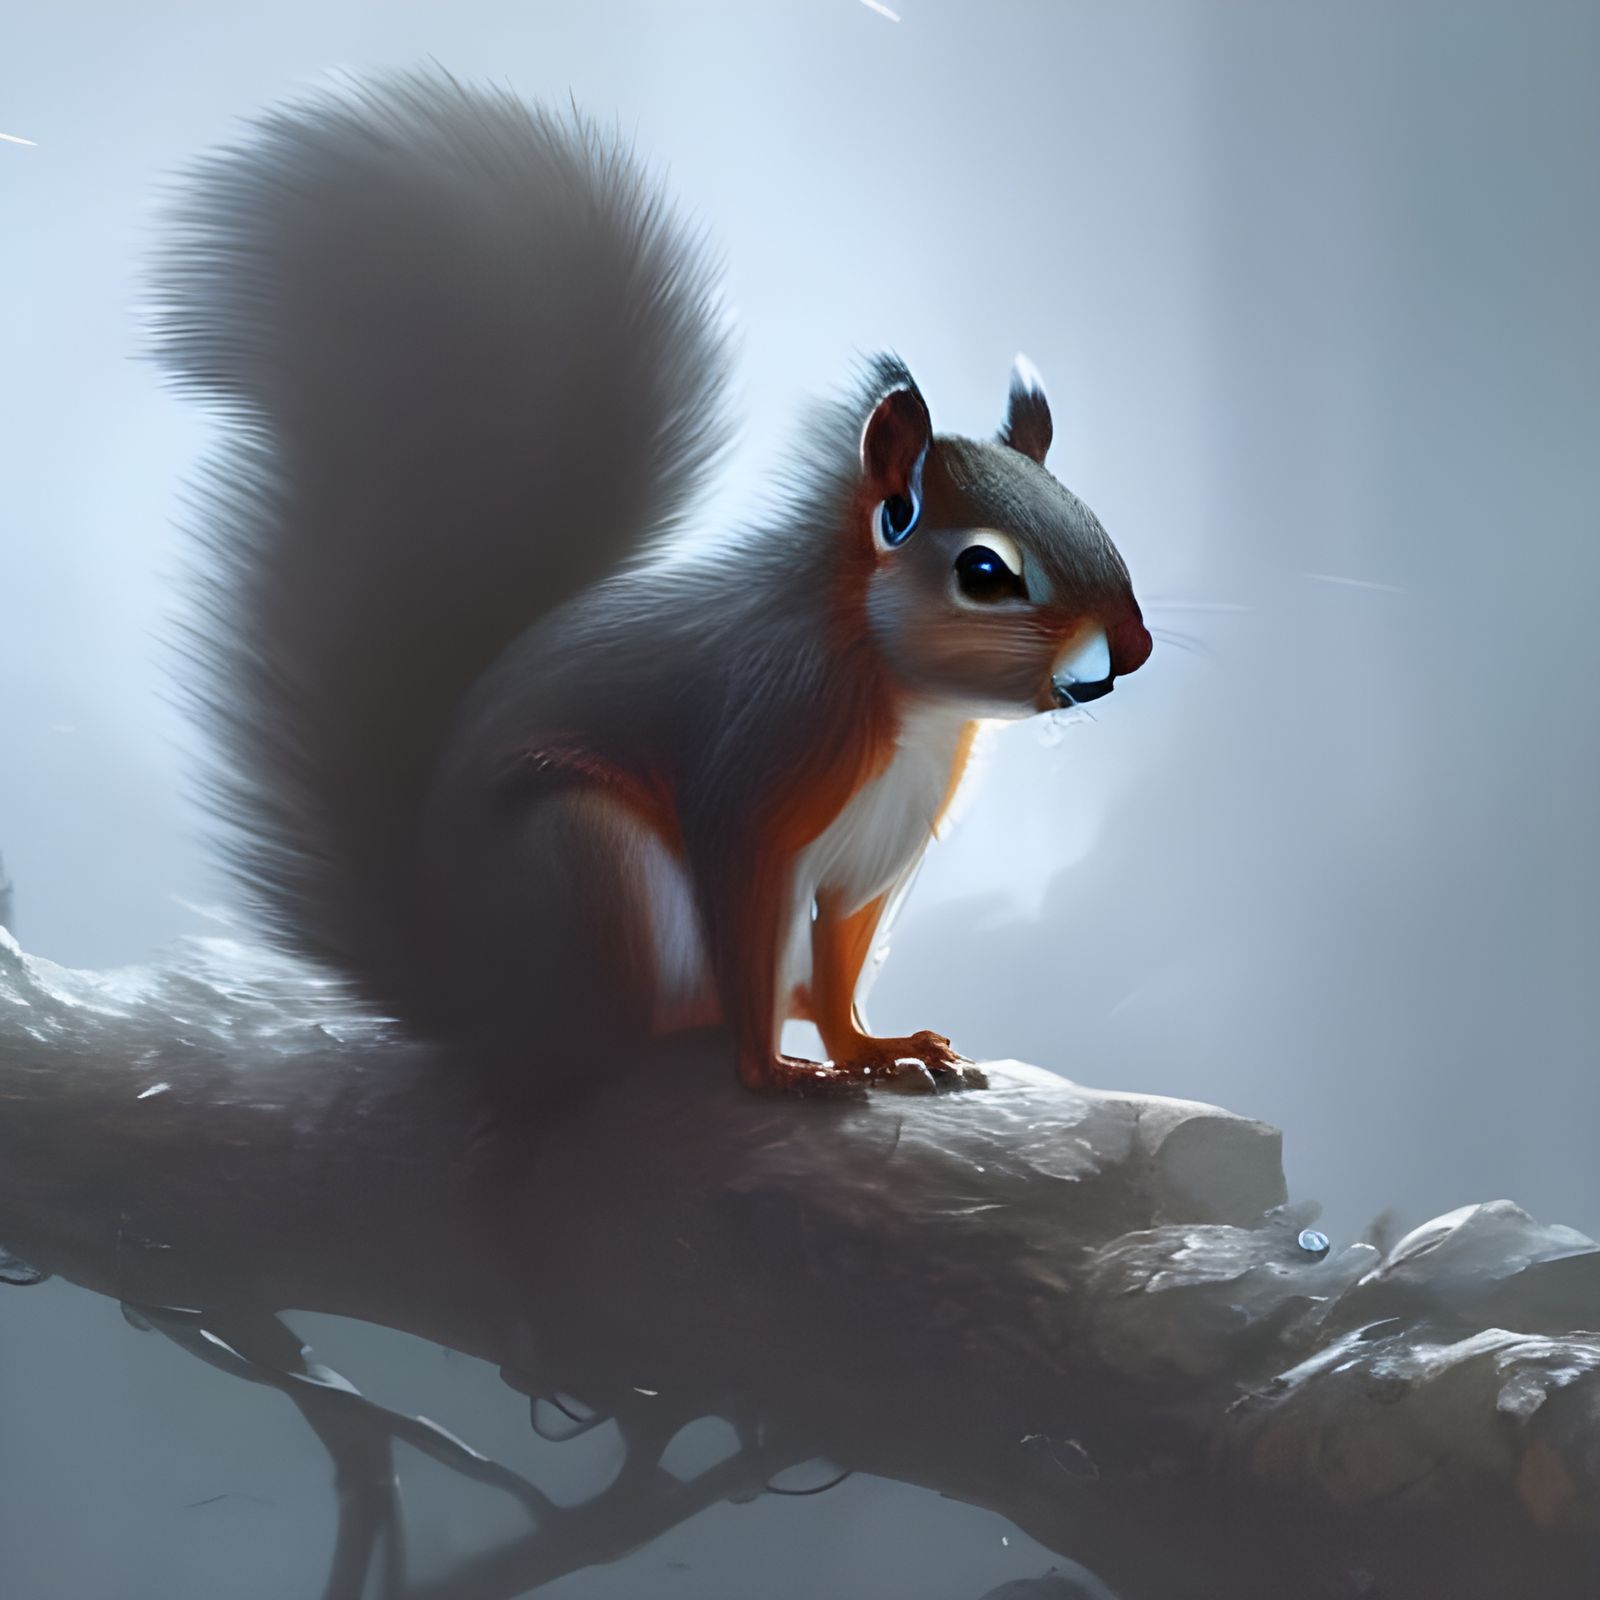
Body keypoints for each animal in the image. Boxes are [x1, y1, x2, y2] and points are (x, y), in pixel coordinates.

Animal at [152, 70, 1152, 1098]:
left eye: (1095, 516)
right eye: (985, 571)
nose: (1135, 648)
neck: (915, 705)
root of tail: (458, 999)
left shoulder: (872, 861)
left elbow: (838, 969)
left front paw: (874, 1048)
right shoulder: (758, 770)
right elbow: (747, 926)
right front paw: (773, 1071)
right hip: (582, 859)